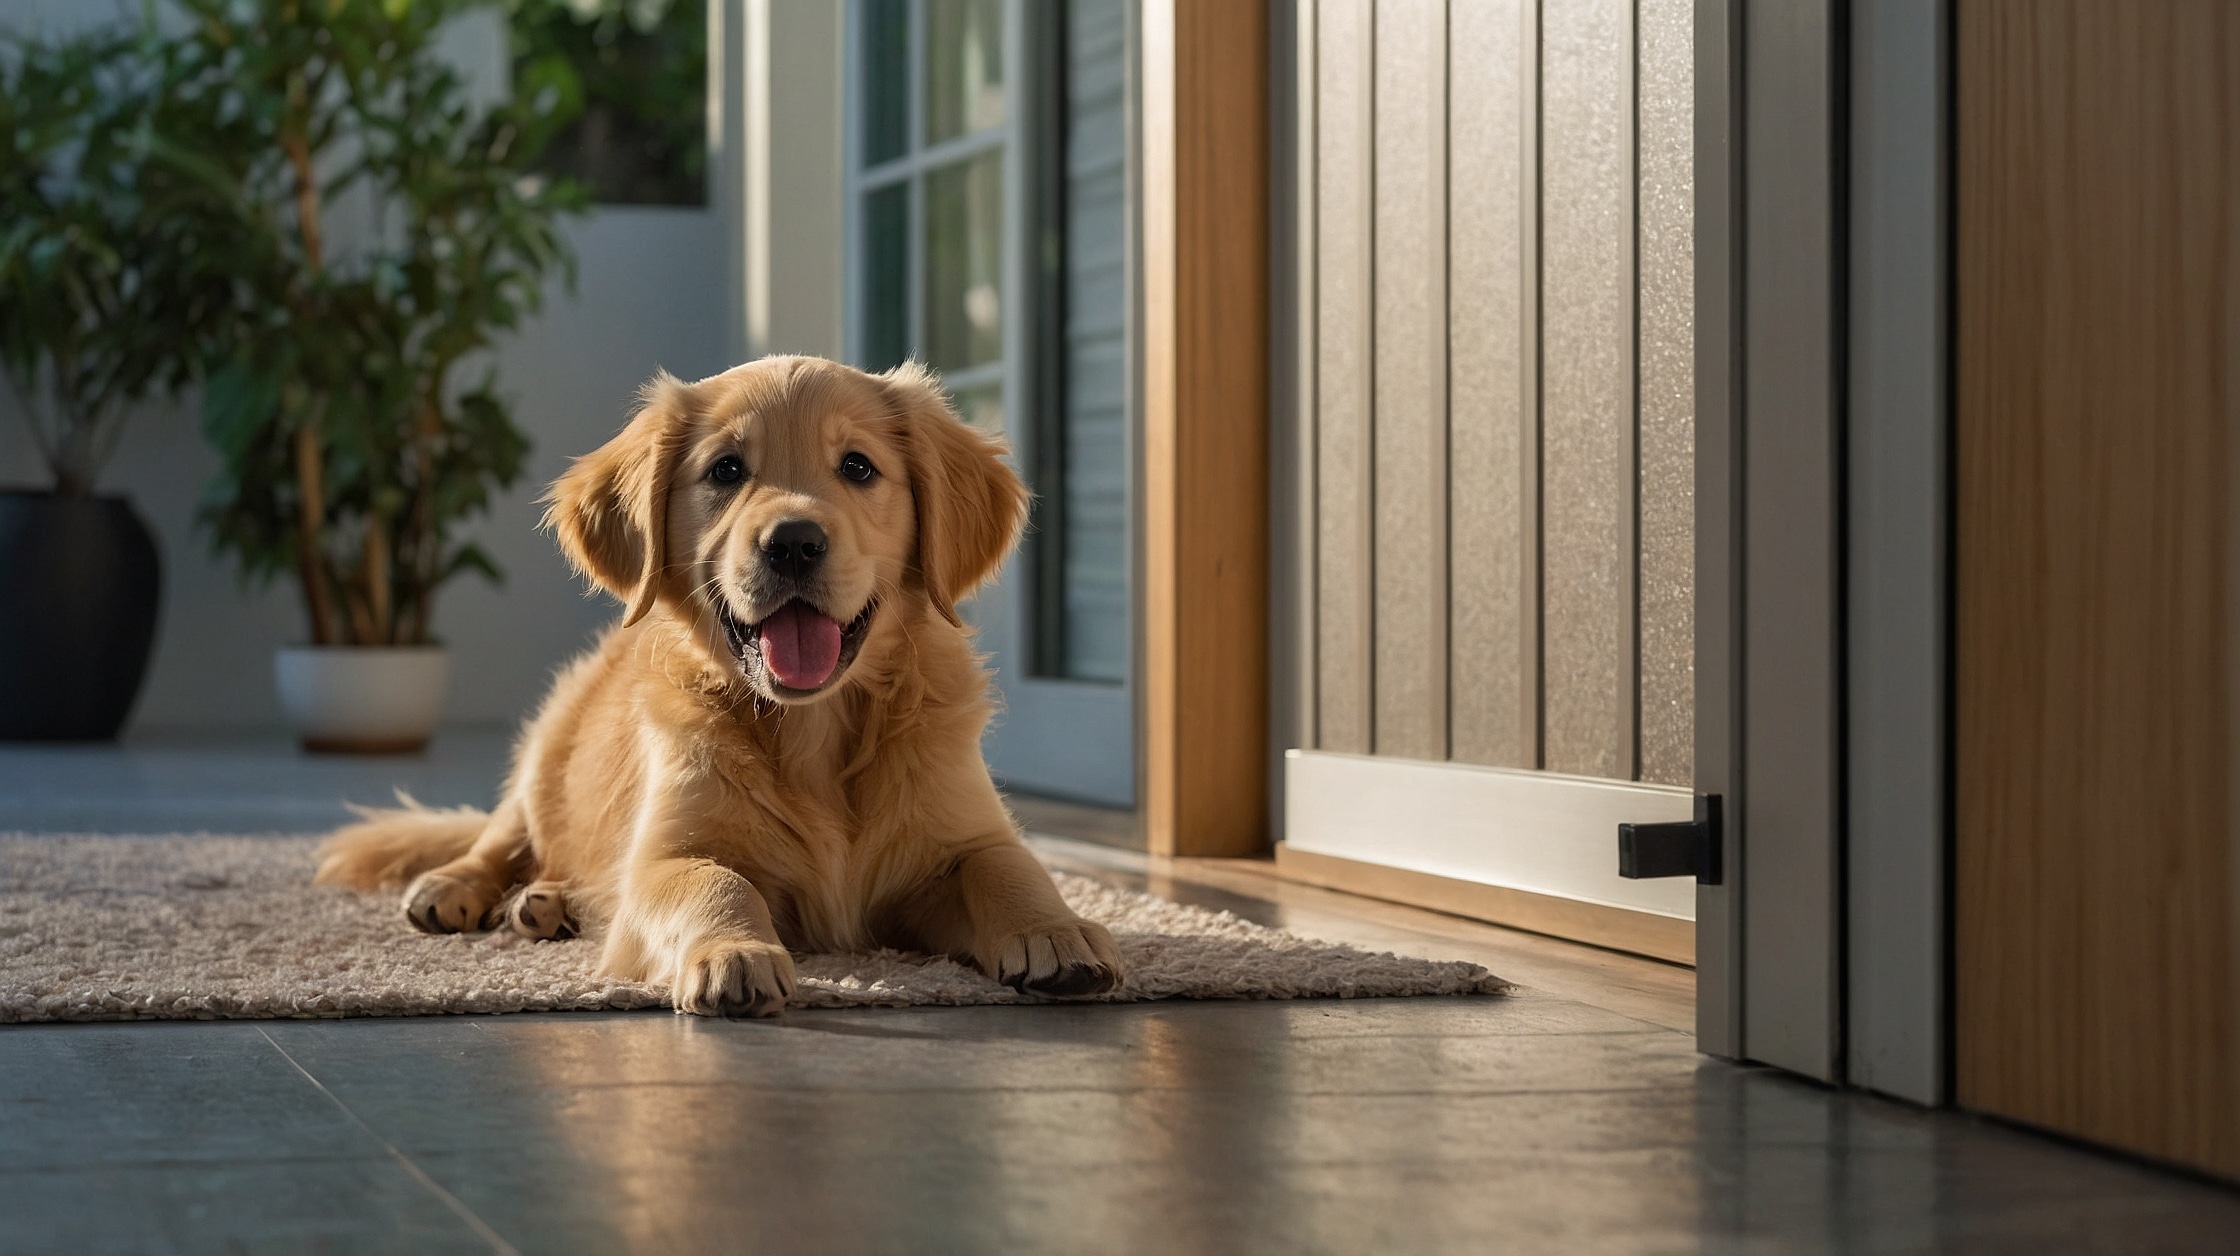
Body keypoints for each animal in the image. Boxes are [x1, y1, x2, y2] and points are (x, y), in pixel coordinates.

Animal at [315, 349, 1120, 1007]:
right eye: (727, 469)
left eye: (858, 467)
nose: (793, 543)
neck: (813, 729)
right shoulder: (665, 853)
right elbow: (713, 880)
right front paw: (734, 952)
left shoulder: (956, 833)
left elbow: (1007, 865)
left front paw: (1059, 930)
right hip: (546, 745)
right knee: (504, 833)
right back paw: (457, 887)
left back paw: (548, 903)